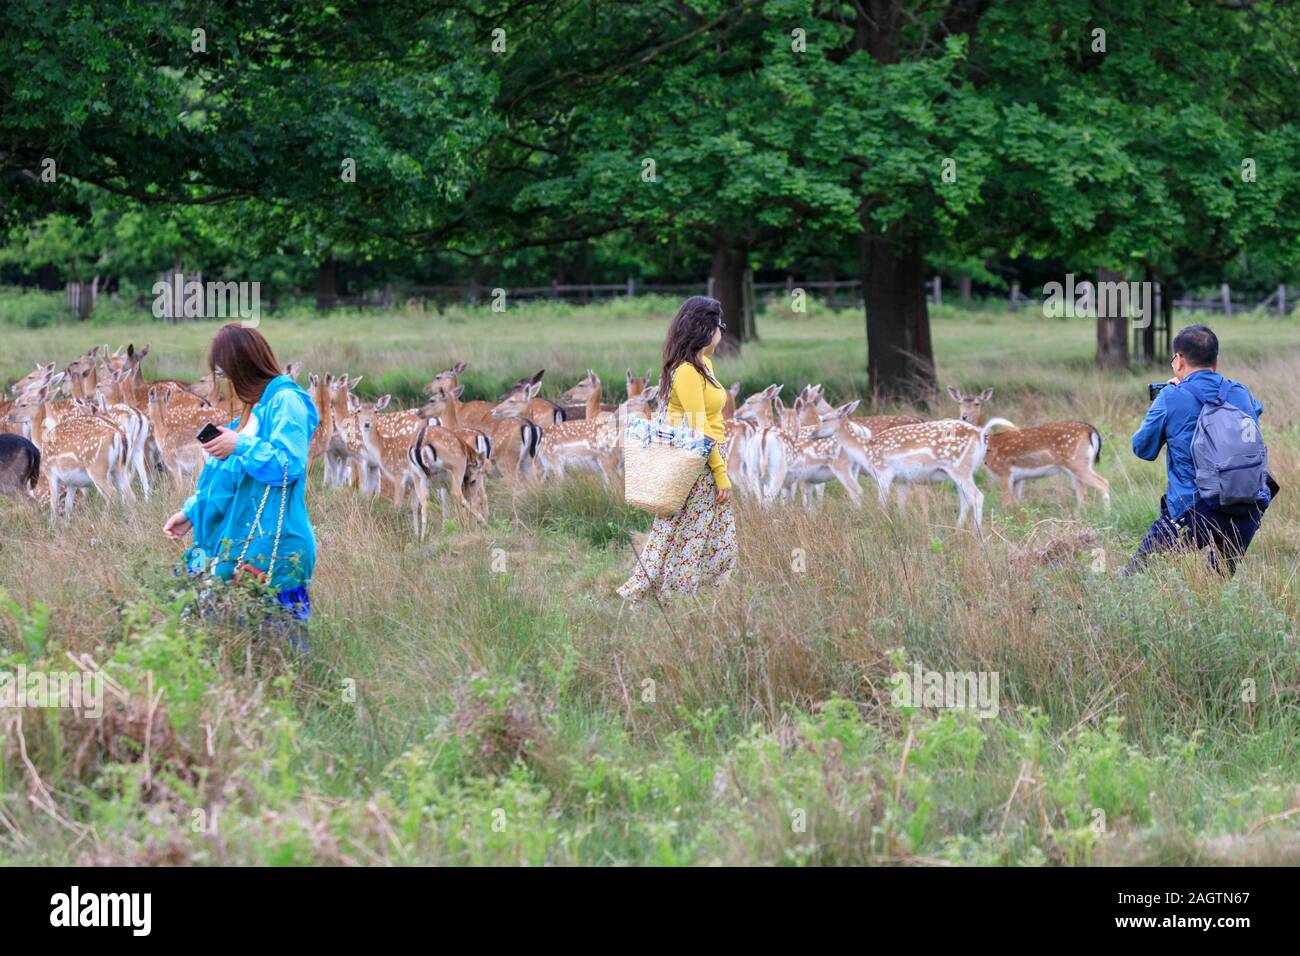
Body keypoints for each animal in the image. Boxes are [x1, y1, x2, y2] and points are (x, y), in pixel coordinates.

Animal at [812, 400, 1017, 527]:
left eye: (824, 419)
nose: (812, 433)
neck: (866, 451)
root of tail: (981, 433)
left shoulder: (883, 472)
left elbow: (883, 503)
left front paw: (884, 525)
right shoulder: (902, 479)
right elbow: (901, 504)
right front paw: (901, 524)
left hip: (959, 468)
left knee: (977, 496)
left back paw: (976, 531)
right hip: (965, 471)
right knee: (965, 499)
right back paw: (958, 527)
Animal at [947, 386, 1110, 509]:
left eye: (977, 403)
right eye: (959, 403)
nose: (964, 416)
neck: (991, 443)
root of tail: (1091, 430)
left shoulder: (1004, 471)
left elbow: (1006, 504)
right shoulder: (1018, 478)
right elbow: (1017, 503)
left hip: (1078, 462)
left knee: (1103, 483)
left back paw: (1106, 515)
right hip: (1076, 466)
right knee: (1082, 493)